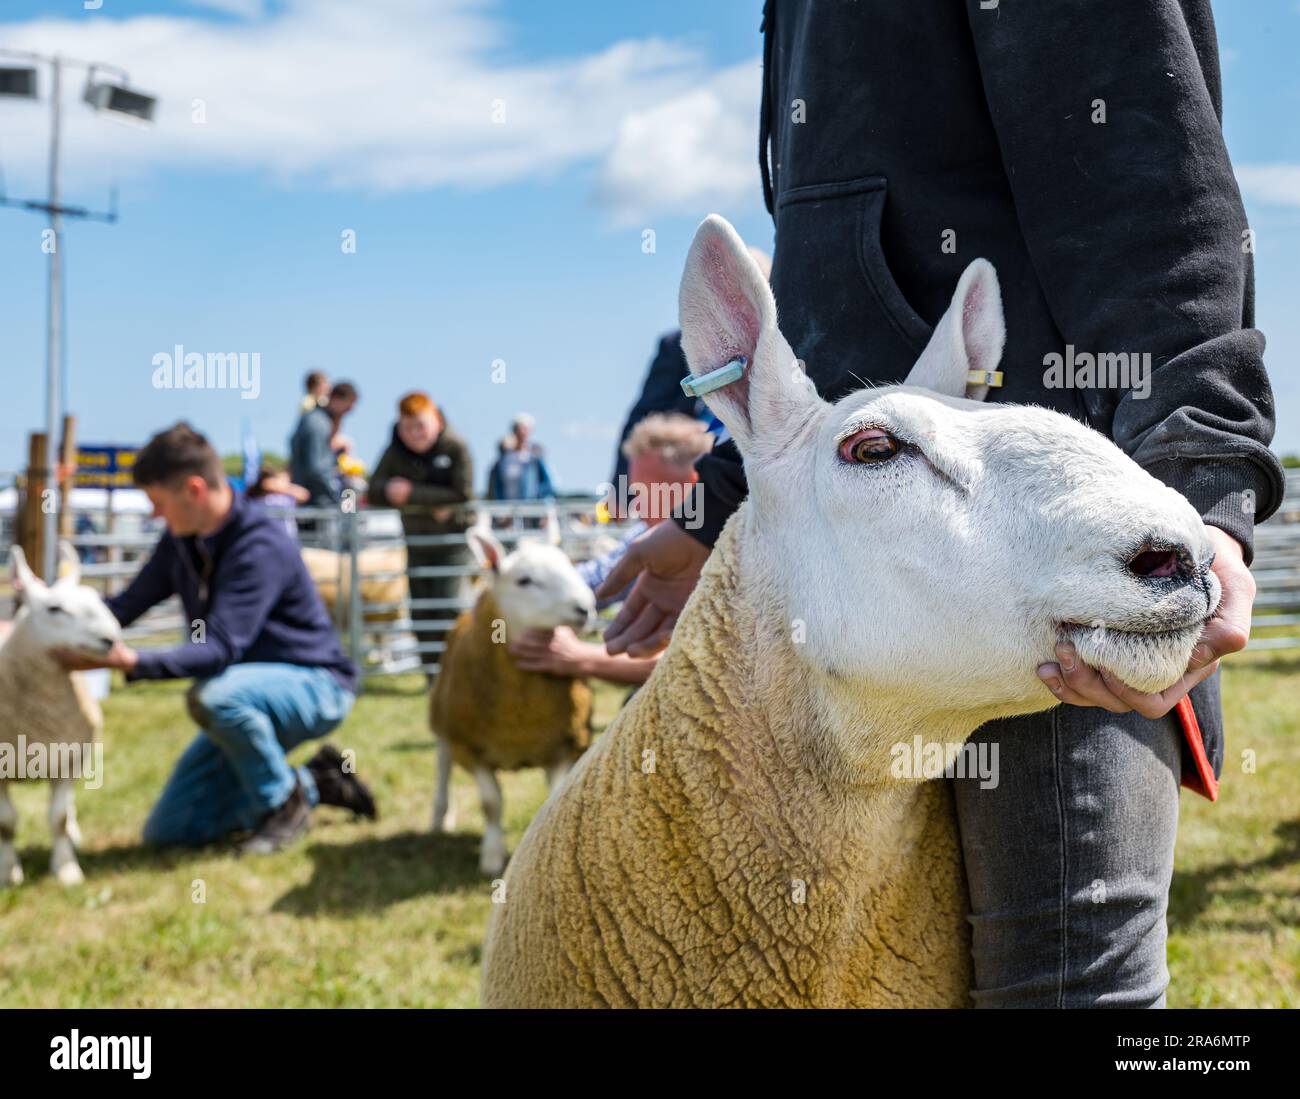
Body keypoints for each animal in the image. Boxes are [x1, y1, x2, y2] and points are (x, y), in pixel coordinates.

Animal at [1, 543, 122, 889]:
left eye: (96, 600)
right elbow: (7, 823)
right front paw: (8, 872)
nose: (111, 638)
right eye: (54, 608)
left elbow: (59, 818)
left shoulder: (69, 761)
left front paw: (67, 869)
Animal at [428, 522, 595, 873]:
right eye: (524, 580)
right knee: (443, 769)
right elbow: (491, 803)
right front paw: (492, 857)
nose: (585, 608)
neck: (519, 717)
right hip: (443, 726)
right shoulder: (470, 747)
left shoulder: (564, 745)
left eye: (570, 564)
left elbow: (554, 798)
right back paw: (440, 817)